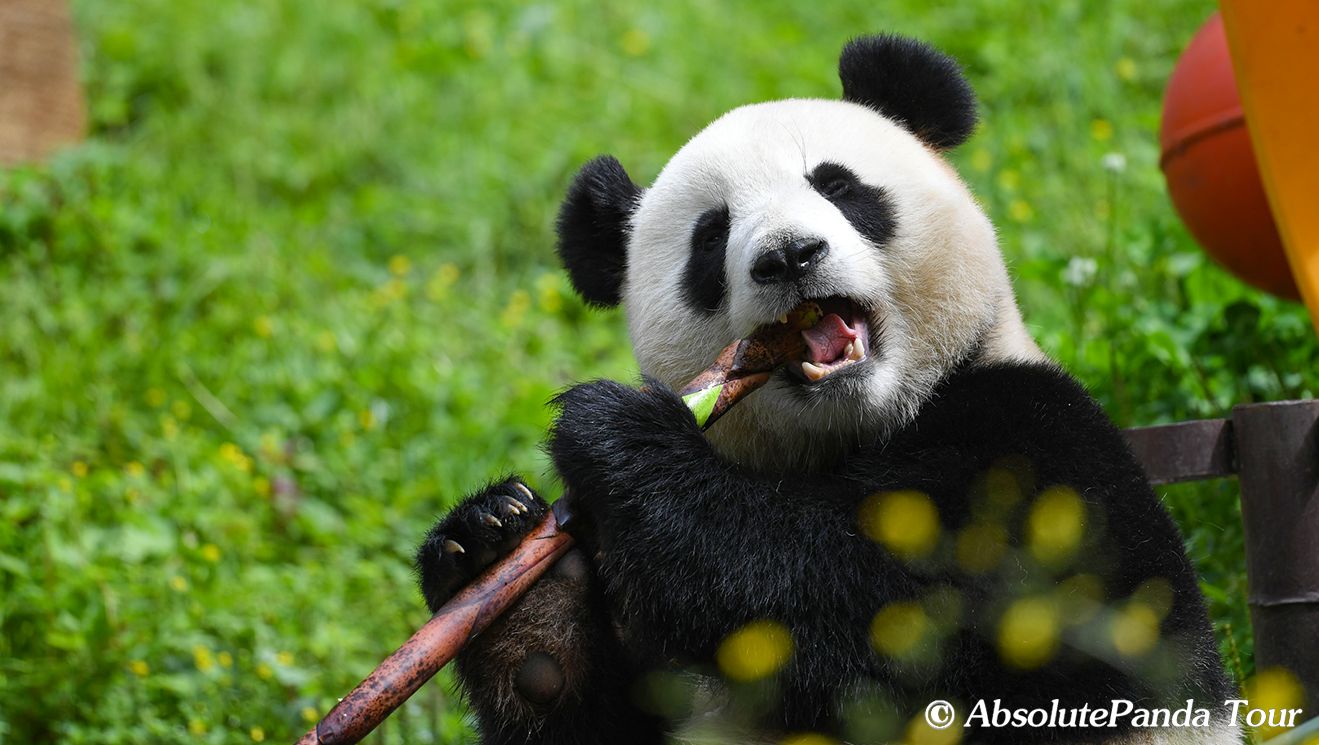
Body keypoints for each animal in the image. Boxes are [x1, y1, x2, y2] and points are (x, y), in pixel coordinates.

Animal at [415, 34, 1239, 745]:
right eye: (710, 237)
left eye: (839, 187)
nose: (789, 255)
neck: (856, 432)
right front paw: (500, 556)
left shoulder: (1038, 446)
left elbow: (892, 615)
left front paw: (614, 432)